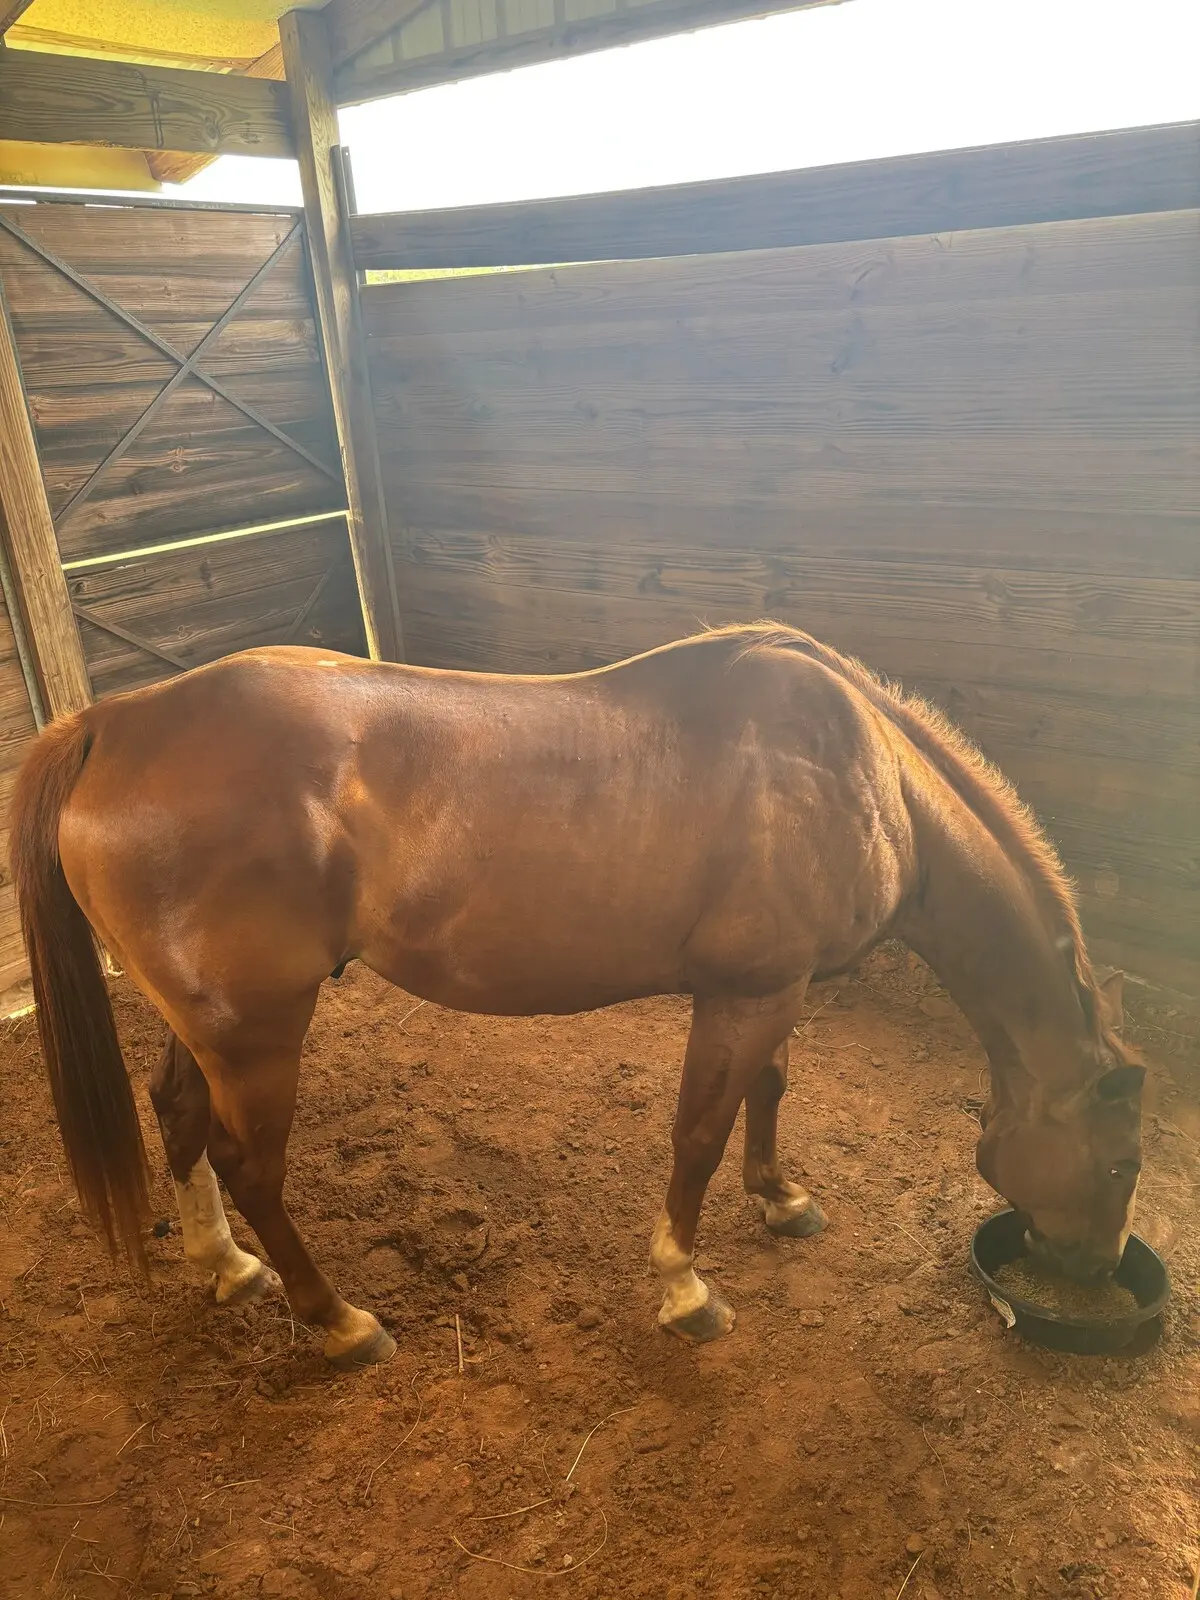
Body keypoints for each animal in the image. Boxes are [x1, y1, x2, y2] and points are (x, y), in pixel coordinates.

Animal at [10, 624, 1144, 1368]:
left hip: (204, 1023)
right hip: (257, 1032)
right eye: (1123, 1163)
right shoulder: (744, 995)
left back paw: (227, 1265)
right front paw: (685, 1287)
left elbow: (768, 1094)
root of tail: (114, 723)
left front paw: (781, 1199)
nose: (1095, 1269)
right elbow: (699, 1132)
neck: (861, 777)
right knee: (252, 1165)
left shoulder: (776, 988)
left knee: (177, 1113)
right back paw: (337, 1321)